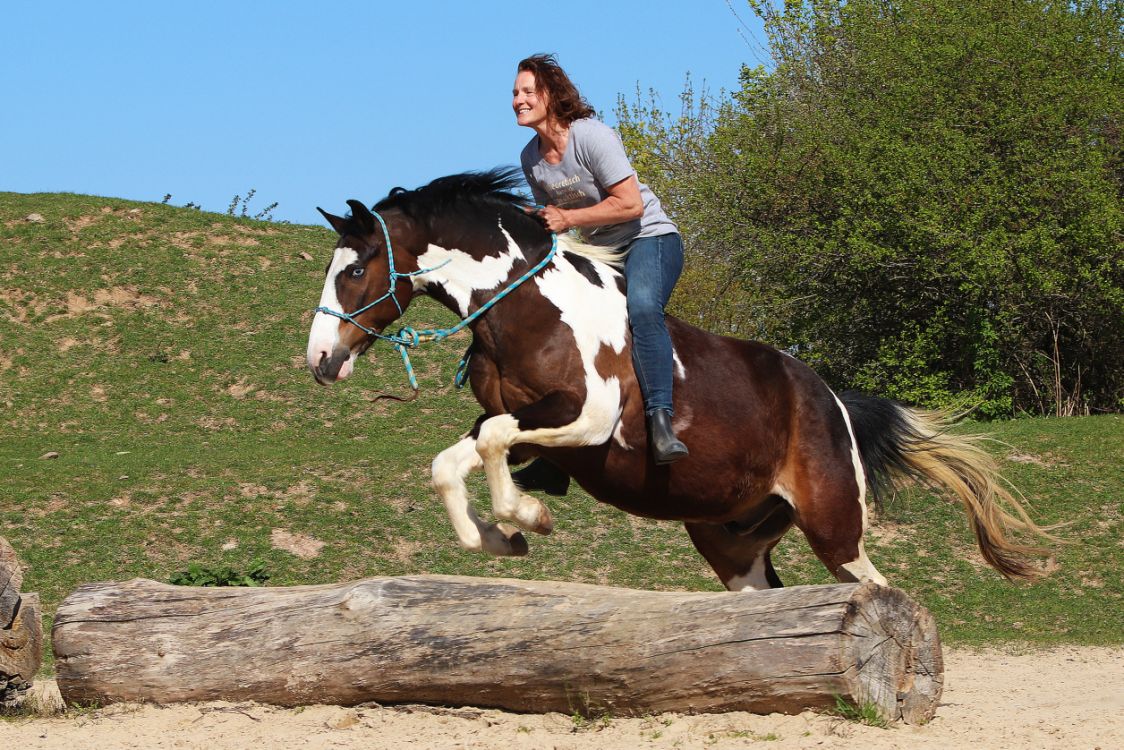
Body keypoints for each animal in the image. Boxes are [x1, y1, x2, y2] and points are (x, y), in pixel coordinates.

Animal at [305, 168, 1051, 590]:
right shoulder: (522, 422)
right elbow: (456, 459)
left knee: (876, 588)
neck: (527, 305)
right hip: (731, 539)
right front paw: (499, 536)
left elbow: (489, 447)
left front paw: (527, 516)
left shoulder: (588, 418)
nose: (319, 360)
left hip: (834, 523)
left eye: (356, 268)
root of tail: (832, 399)